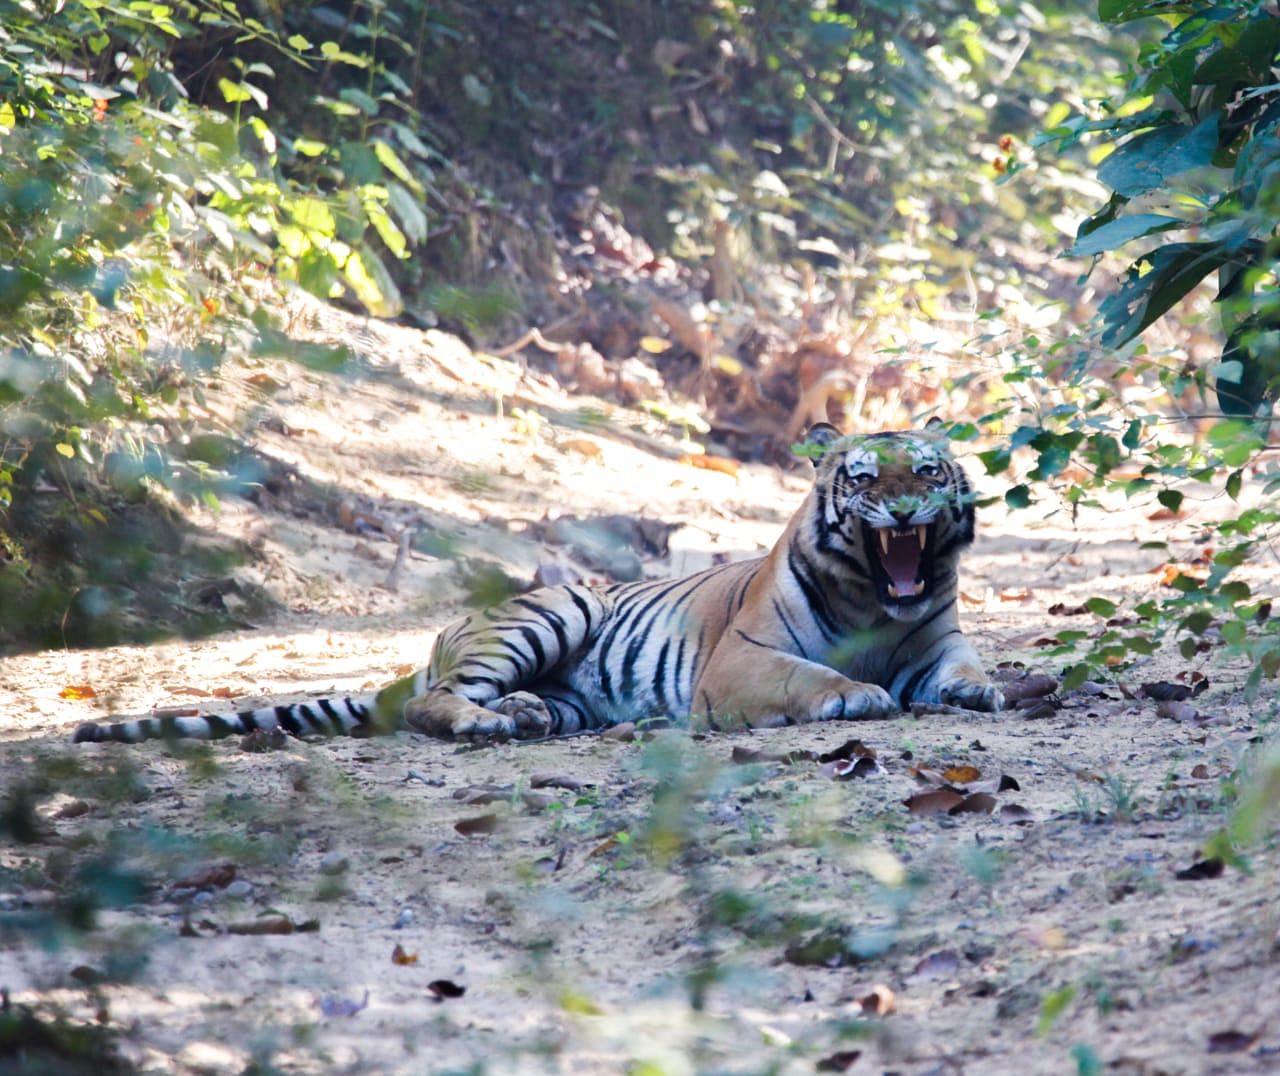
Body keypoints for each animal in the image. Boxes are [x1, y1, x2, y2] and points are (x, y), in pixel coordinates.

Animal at [74, 422, 1003, 747]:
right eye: (864, 478)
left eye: (927, 470)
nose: (907, 508)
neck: (877, 597)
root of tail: (434, 643)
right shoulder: (739, 663)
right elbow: (808, 675)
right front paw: (855, 695)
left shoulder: (938, 642)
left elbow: (966, 669)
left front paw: (989, 692)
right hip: (559, 604)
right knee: (430, 705)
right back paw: (489, 725)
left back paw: (522, 715)